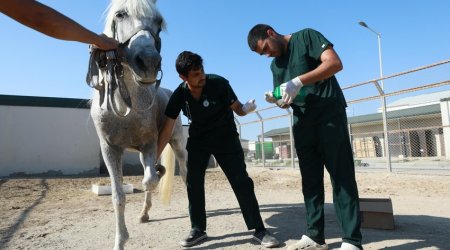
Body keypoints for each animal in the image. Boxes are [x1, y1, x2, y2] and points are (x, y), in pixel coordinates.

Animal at [86, 0, 186, 249]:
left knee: (186, 176)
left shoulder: (149, 144)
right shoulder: (111, 150)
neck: (125, 107)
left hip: (178, 146)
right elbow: (118, 197)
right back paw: (144, 214)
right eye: (120, 14)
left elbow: (150, 180)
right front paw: (120, 241)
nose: (149, 62)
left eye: (159, 21)